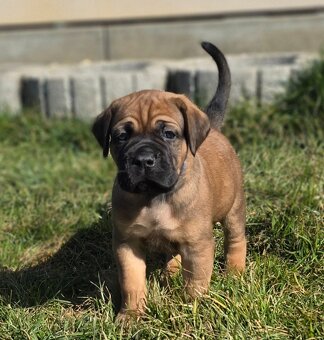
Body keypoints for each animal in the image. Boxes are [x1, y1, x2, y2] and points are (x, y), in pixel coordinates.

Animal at [92, 41, 247, 318]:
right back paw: (171, 271)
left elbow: (196, 281)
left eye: (169, 134)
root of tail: (213, 128)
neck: (153, 196)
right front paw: (131, 315)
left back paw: (234, 272)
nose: (143, 159)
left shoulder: (197, 245)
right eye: (121, 136)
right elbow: (132, 282)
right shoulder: (127, 244)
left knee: (236, 239)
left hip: (234, 207)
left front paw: (191, 309)